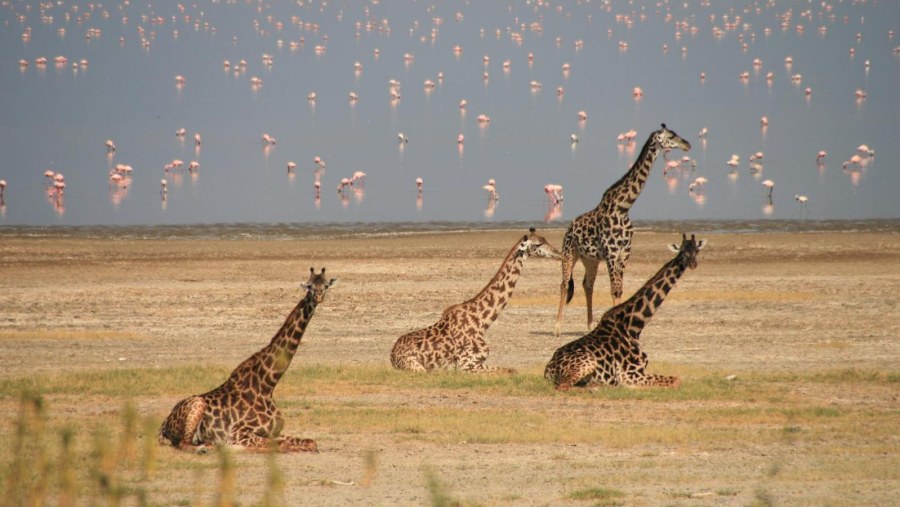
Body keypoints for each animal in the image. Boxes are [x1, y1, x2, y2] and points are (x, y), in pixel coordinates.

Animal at [158, 268, 338, 454]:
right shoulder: (238, 433)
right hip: (197, 405)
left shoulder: (274, 432)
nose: (318, 296)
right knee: (182, 443)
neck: (267, 385)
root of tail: (163, 425)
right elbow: (280, 446)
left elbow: (310, 442)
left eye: (325, 285)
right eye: (309, 286)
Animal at [390, 229, 560, 374]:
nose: (558, 253)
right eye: (538, 244)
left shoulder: (477, 363)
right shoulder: (466, 365)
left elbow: (512, 370)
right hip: (417, 367)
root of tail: (391, 356)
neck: (482, 322)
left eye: (545, 239)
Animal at [544, 233, 708, 388]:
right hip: (586, 364)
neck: (634, 325)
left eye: (696, 250)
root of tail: (548, 370)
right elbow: (676, 380)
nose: (693, 263)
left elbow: (676, 379)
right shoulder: (628, 374)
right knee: (565, 386)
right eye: (683, 251)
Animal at [552, 123, 692, 338]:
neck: (623, 207)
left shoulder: (624, 253)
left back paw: (590, 325)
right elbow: (614, 290)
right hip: (569, 253)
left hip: (590, 259)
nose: (687, 144)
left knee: (588, 284)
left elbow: (619, 290)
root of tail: (569, 227)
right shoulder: (611, 253)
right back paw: (557, 328)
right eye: (671, 136)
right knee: (564, 284)